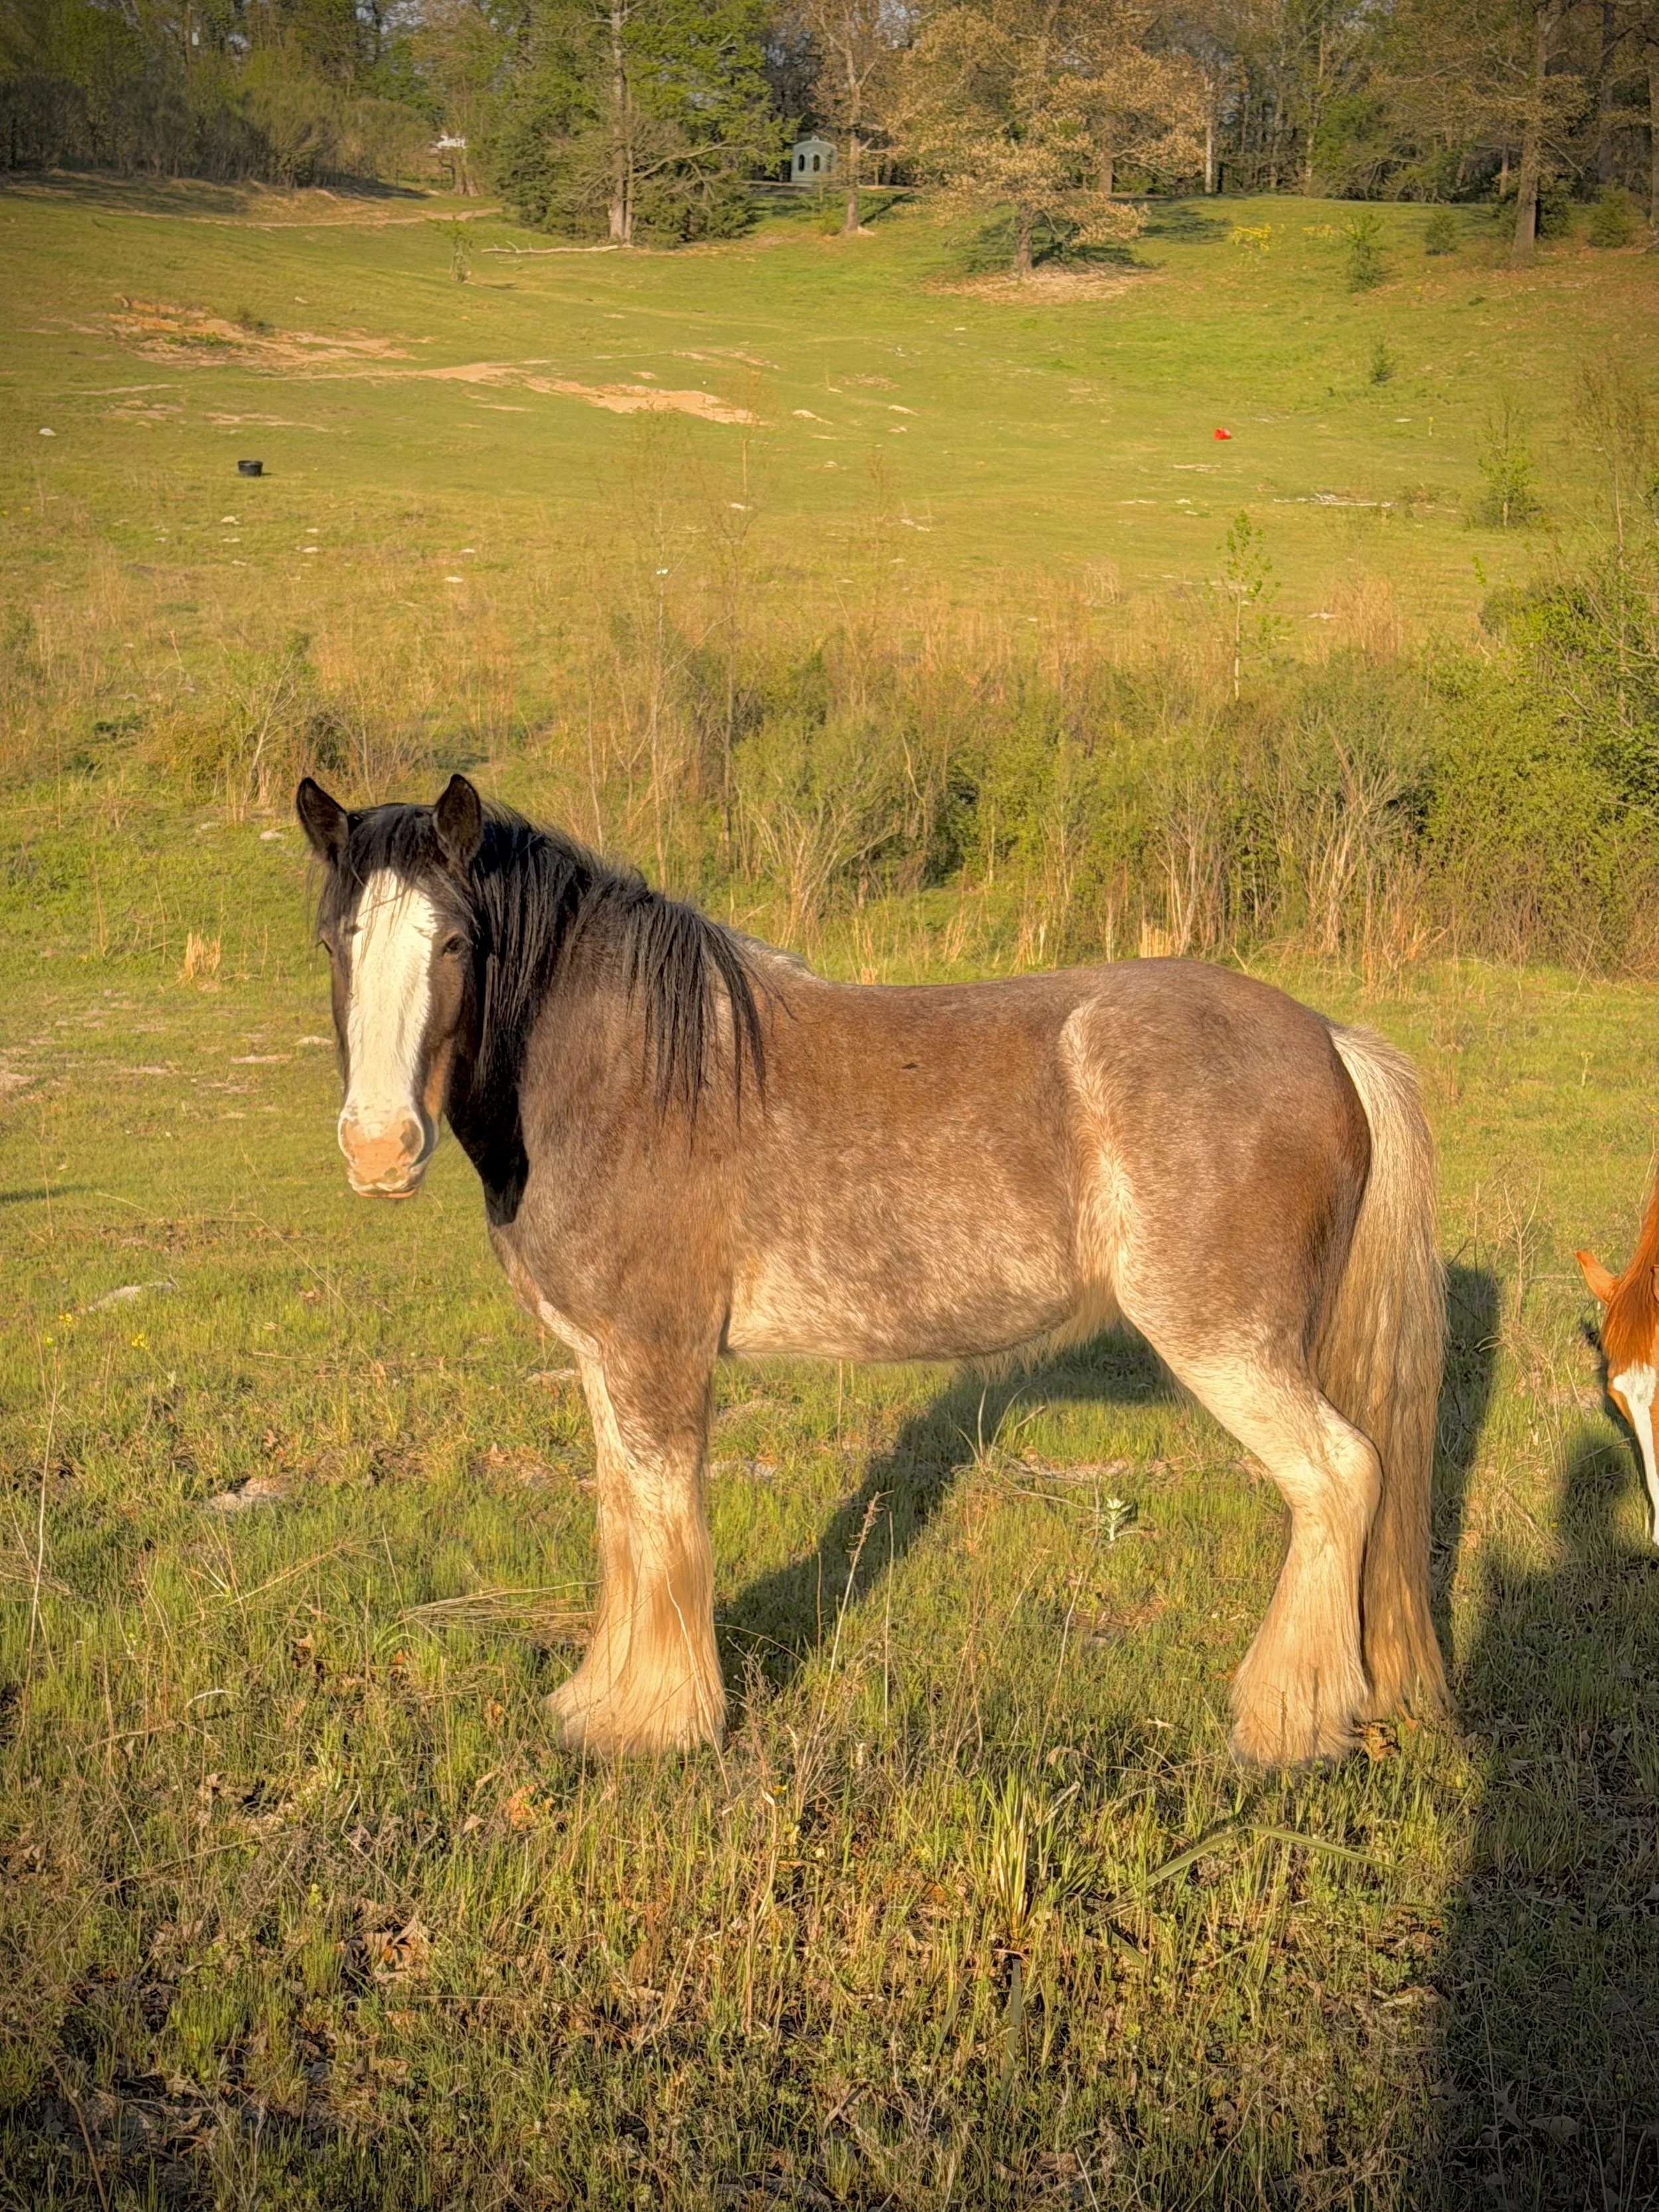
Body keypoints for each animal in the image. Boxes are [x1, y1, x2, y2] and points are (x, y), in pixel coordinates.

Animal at [295, 771, 1449, 1764]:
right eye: (334, 940)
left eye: (454, 940)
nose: (379, 1149)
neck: (626, 1072)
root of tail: (1328, 1039)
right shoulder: (603, 1359)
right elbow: (624, 1519)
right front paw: (602, 1700)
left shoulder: (657, 1355)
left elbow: (667, 1526)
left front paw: (660, 1721)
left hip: (1227, 1345)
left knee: (1339, 1478)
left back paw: (1284, 1720)